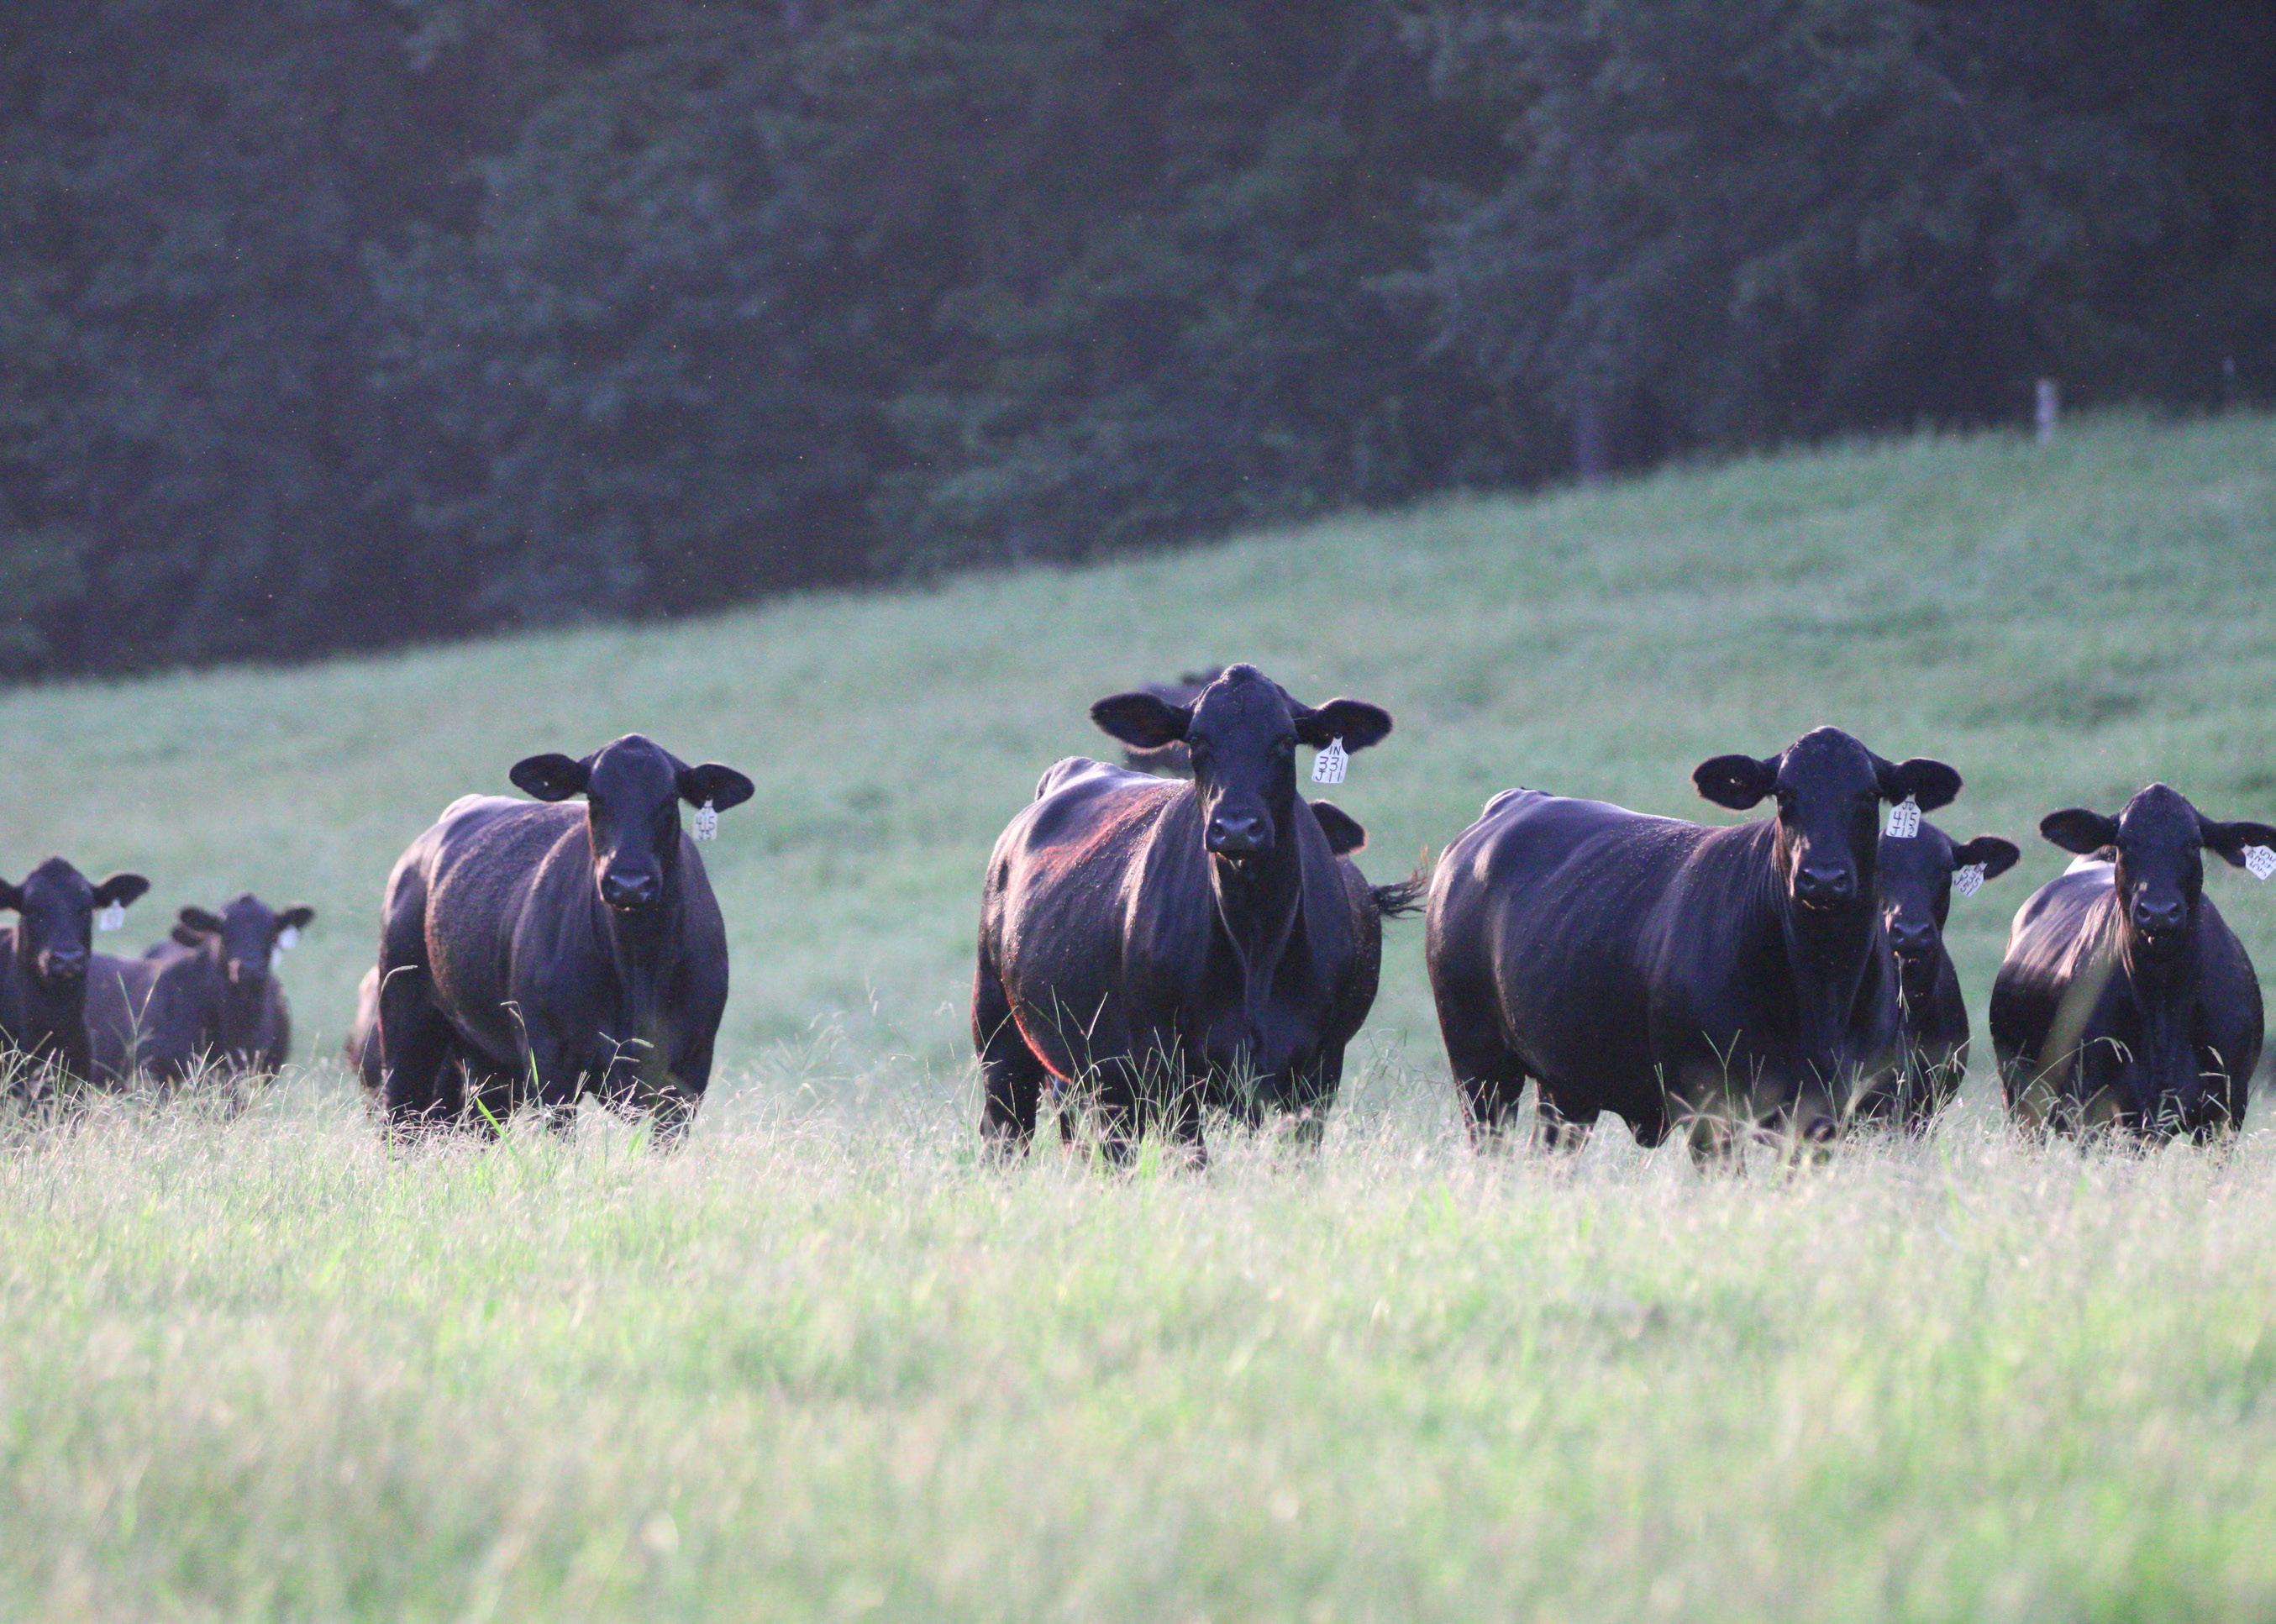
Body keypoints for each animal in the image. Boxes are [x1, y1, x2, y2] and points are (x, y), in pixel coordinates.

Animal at [370, 733, 753, 1135]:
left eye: (668, 799)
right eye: (595, 797)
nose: (629, 883)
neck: (637, 965)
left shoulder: (689, 1070)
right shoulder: (552, 1065)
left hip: (487, 1067)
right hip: (404, 1023)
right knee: (401, 1119)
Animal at [974, 663, 1418, 1166]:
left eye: (1285, 739)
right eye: (1197, 741)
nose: (1237, 827)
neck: (1255, 941)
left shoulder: (1318, 1068)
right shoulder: (1167, 1065)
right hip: (1002, 1041)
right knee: (1006, 1138)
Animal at [1425, 727, 1961, 1163]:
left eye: (1869, 794)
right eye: (1784, 793)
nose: (1823, 878)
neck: (1821, 990)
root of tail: (1516, 801)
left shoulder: (1830, 1114)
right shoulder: (1710, 1104)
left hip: (1565, 1083)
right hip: (1477, 1062)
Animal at [1989, 784, 2273, 1140]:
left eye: (2193, 843)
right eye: (2124, 842)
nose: (2159, 912)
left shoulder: (2227, 1110)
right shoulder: (2097, 1107)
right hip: (2021, 1101)